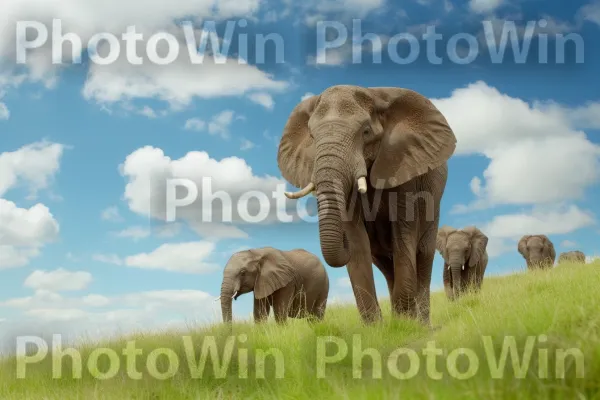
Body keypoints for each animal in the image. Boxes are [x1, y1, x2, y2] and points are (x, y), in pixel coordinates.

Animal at [278, 85, 458, 324]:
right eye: (313, 137)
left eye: (365, 132)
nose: (341, 239)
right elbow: (357, 240)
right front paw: (379, 328)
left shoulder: (404, 166)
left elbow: (403, 234)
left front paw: (405, 325)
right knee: (386, 266)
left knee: (422, 256)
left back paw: (421, 323)